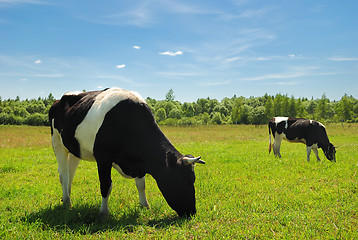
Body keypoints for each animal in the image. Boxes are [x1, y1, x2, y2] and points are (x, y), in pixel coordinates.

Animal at [48, 88, 204, 219]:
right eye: (185, 181)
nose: (192, 212)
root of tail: (58, 100)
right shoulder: (103, 158)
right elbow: (106, 185)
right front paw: (104, 213)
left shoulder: (140, 162)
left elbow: (141, 185)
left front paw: (145, 206)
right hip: (57, 142)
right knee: (64, 174)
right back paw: (67, 202)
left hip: (76, 149)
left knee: (71, 172)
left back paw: (67, 197)